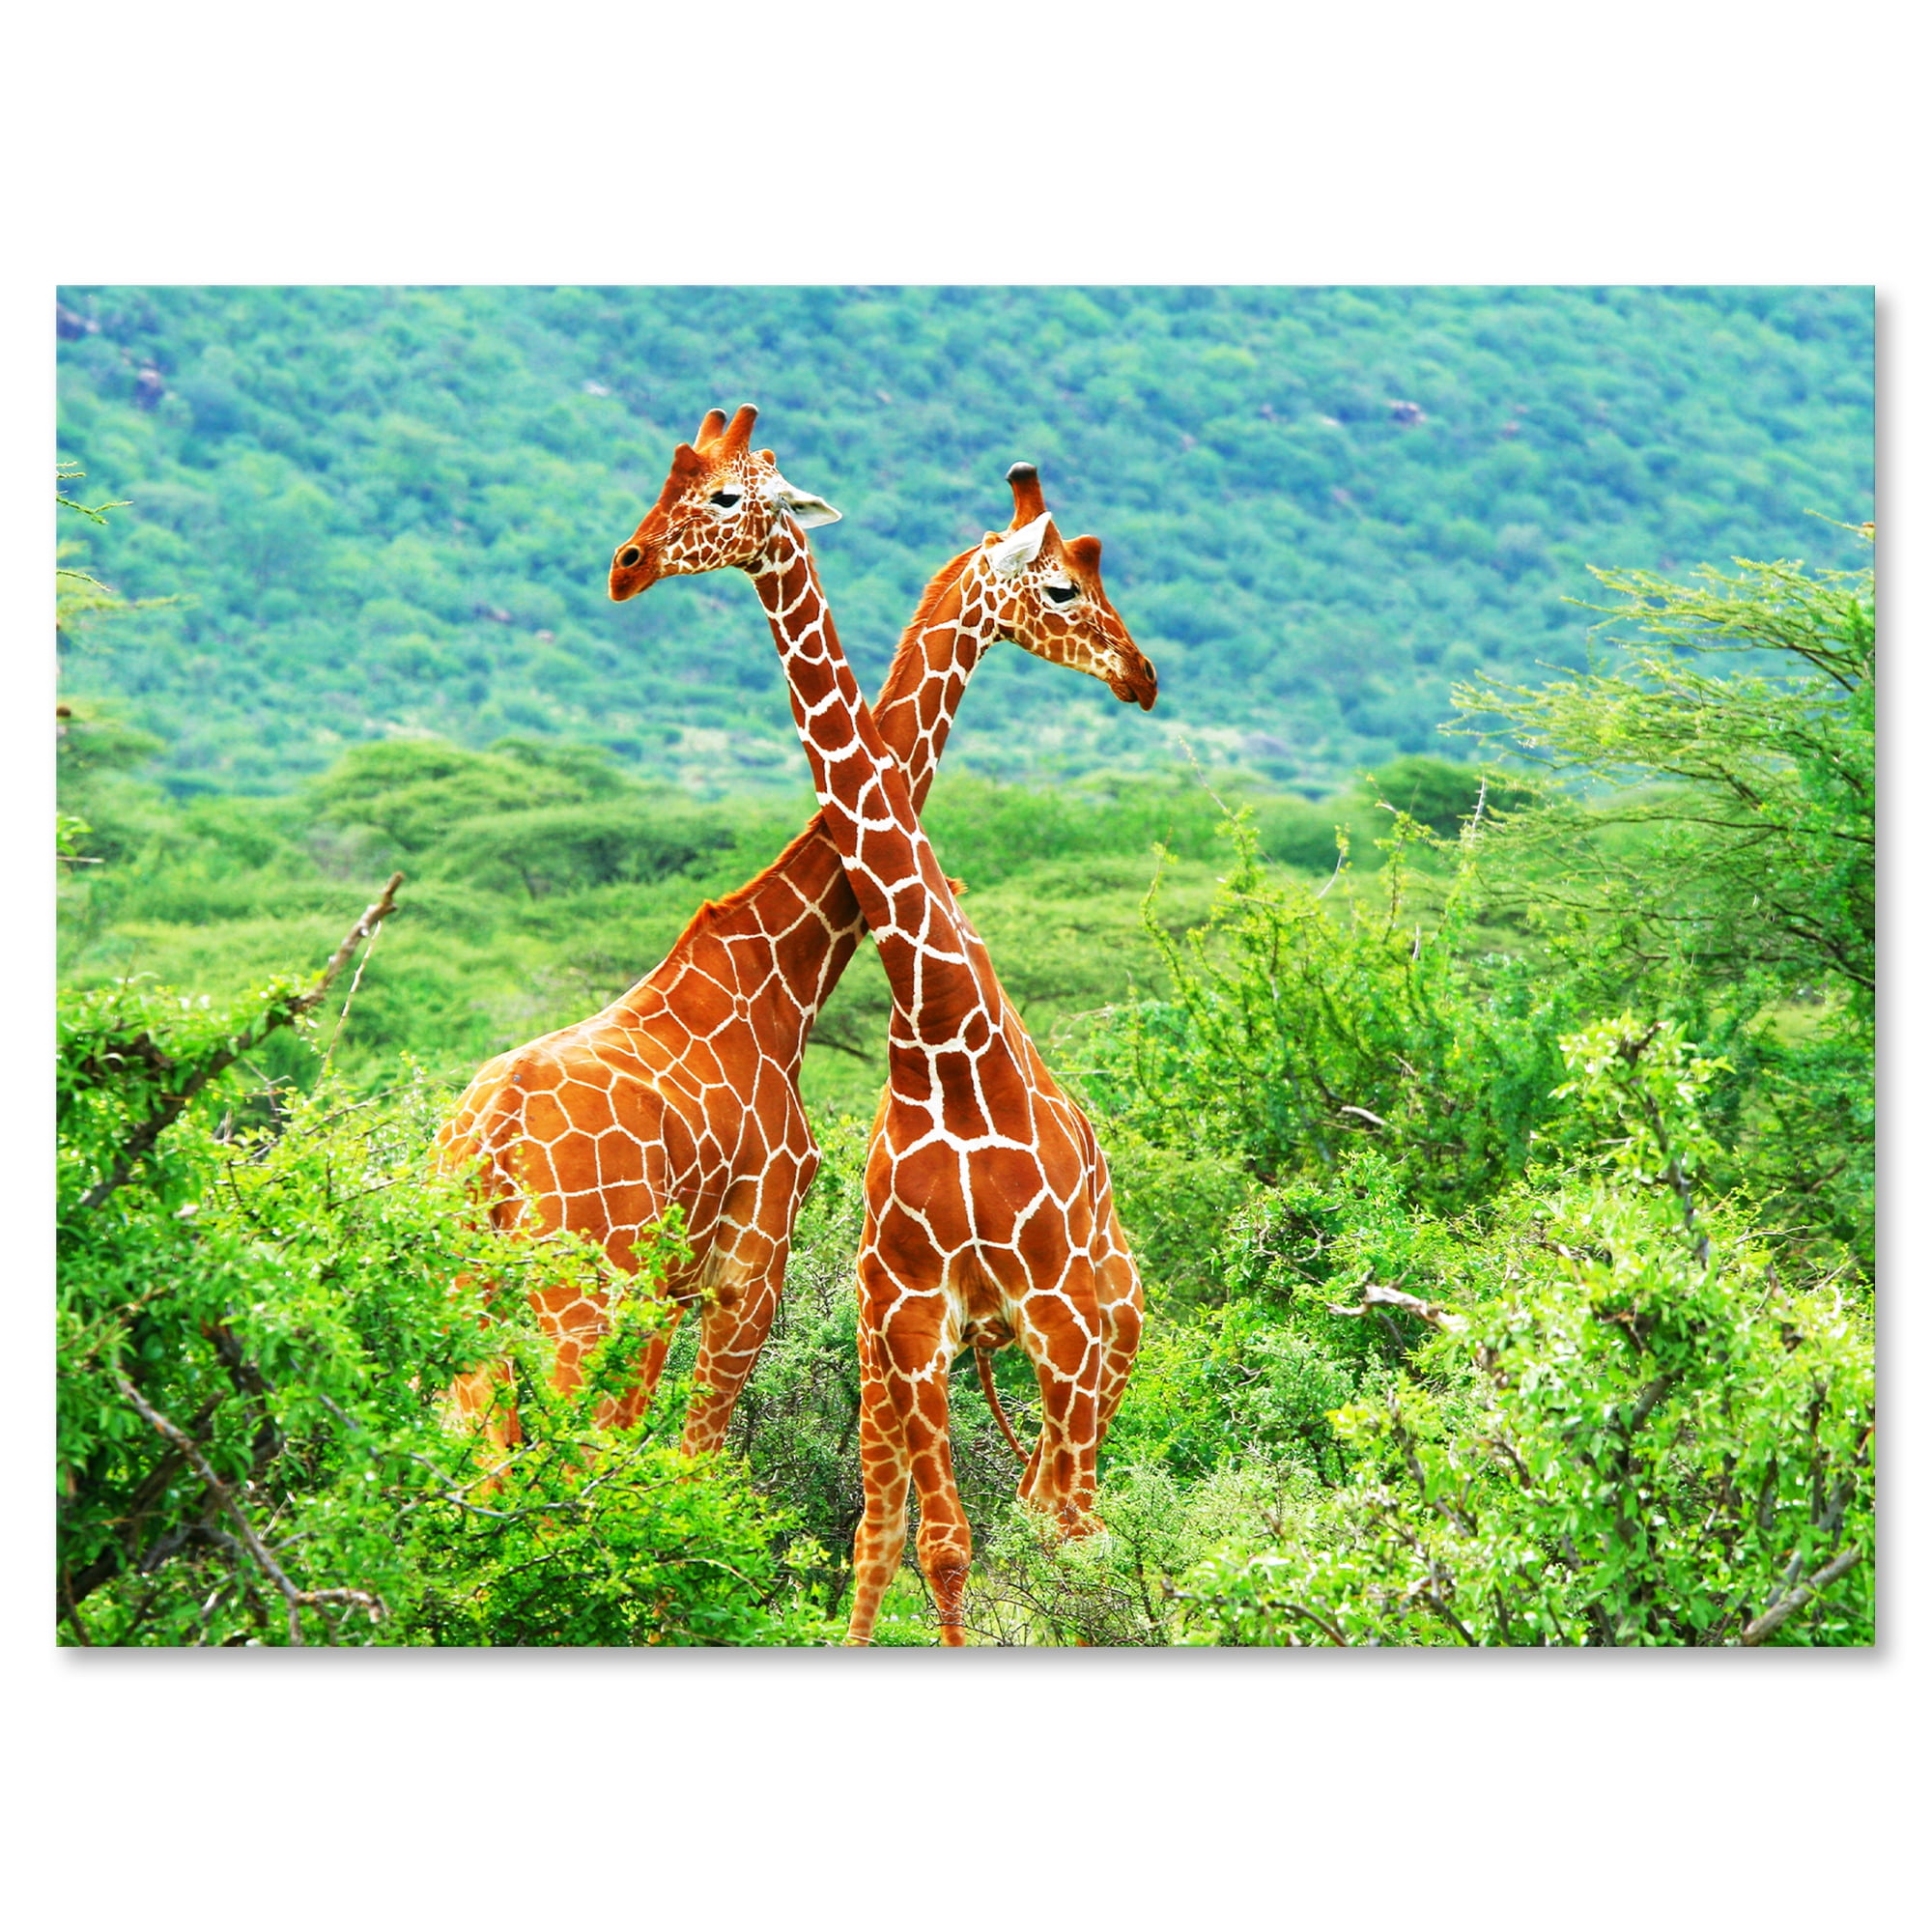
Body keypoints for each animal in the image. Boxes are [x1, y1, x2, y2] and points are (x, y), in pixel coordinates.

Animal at [439, 418, 1156, 1462]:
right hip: (579, 1287)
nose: (1139, 673)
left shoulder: (677, 1286)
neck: (785, 969)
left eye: (715, 491)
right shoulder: (750, 1265)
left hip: (475, 1281)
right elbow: (692, 1462)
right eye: (1064, 585)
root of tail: (485, 1138)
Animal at [609, 405, 1150, 1644]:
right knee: (925, 1517)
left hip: (1107, 1330)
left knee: (1076, 1512)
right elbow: (933, 1541)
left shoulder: (1053, 1312)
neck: (943, 1029)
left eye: (723, 495)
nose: (1142, 675)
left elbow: (1036, 1535)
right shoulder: (907, 1311)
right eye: (1063, 585)